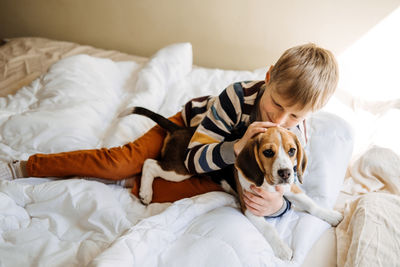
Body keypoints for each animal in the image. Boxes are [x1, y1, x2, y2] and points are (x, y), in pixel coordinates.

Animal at [126, 107, 344, 262]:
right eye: (268, 152)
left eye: (292, 151)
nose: (285, 173)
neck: (267, 182)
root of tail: (180, 129)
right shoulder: (251, 207)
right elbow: (269, 229)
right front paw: (282, 249)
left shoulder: (290, 187)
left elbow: (311, 204)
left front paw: (330, 215)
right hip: (179, 171)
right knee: (149, 164)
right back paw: (145, 192)